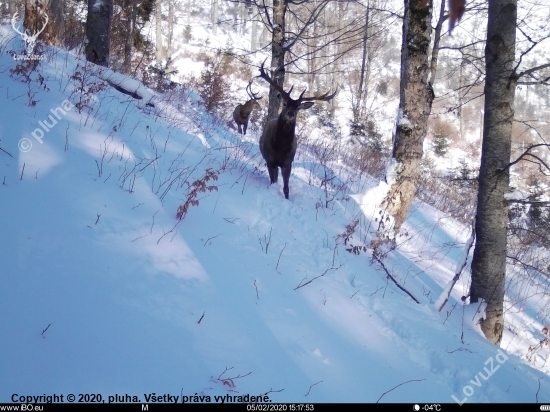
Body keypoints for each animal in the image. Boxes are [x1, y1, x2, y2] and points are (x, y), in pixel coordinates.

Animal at [260, 60, 340, 200]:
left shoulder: (288, 163)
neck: (280, 147)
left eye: (298, 108)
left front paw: (286, 198)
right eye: (285, 103)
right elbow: (273, 180)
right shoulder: (270, 160)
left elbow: (286, 188)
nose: (290, 113)